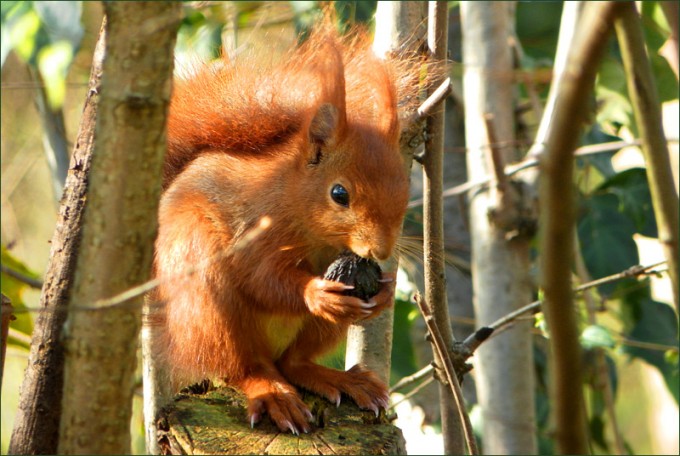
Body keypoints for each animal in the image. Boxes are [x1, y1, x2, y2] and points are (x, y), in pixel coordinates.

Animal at [152, 22, 422, 435]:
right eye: (339, 194)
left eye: (405, 188)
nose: (380, 251)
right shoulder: (255, 224)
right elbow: (260, 277)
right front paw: (316, 293)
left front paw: (386, 292)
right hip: (205, 300)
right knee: (242, 366)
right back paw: (272, 394)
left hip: (315, 333)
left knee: (294, 363)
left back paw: (337, 379)